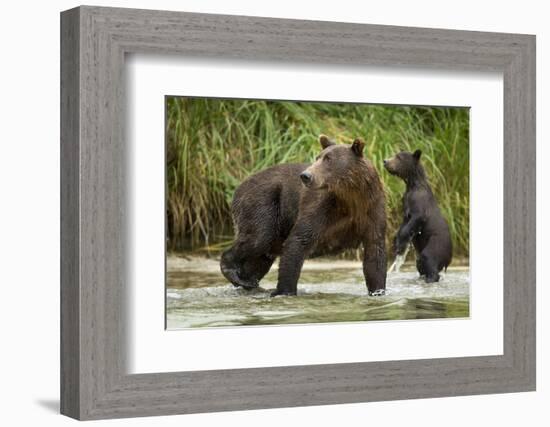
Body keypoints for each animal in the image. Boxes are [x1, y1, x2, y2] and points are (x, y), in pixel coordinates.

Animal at [220, 135, 388, 296]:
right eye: (318, 157)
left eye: (328, 159)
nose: (306, 175)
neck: (351, 197)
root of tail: (240, 185)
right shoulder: (321, 207)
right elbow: (299, 240)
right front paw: (285, 290)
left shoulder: (372, 210)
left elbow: (375, 253)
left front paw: (378, 291)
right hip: (263, 202)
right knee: (259, 237)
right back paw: (234, 273)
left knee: (261, 258)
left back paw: (248, 281)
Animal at [386, 149, 454, 282]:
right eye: (394, 155)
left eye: (399, 157)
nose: (385, 161)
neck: (412, 184)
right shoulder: (405, 201)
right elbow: (404, 222)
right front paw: (396, 241)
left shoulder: (418, 200)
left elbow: (418, 217)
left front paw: (401, 243)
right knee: (420, 264)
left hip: (436, 243)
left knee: (429, 258)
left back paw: (431, 278)